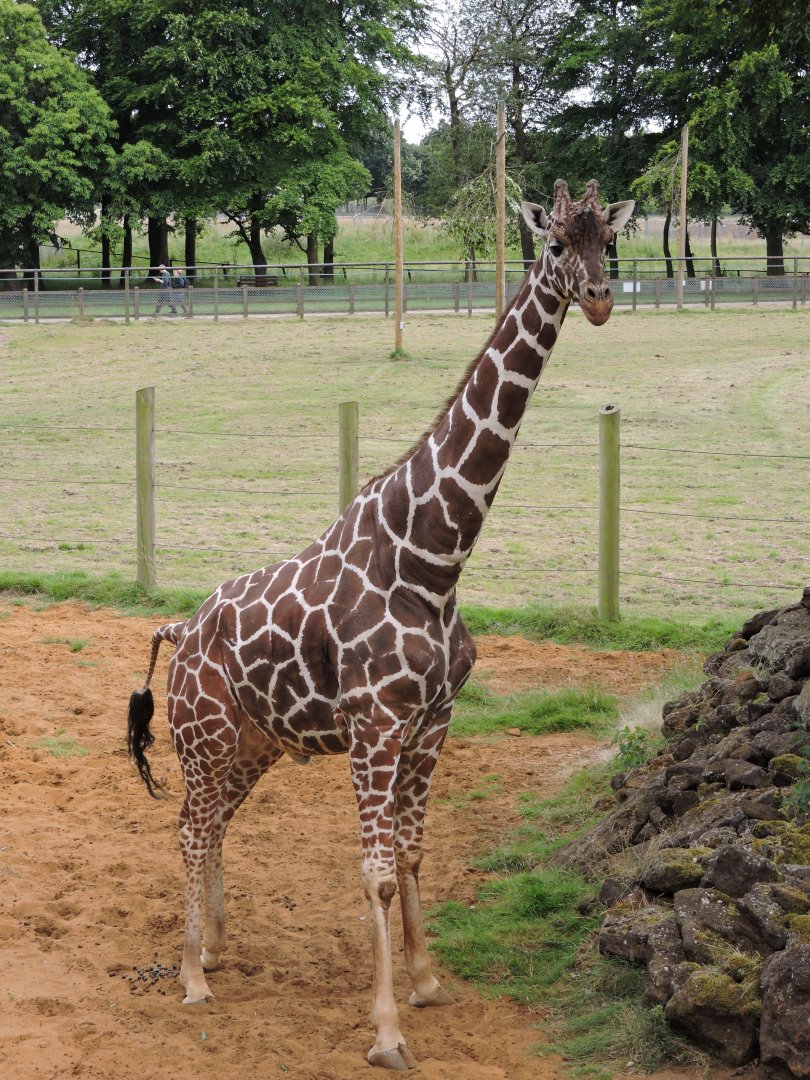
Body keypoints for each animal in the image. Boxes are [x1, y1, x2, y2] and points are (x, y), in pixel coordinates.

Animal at [128, 178, 634, 1072]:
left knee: (213, 823)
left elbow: (412, 850)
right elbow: (375, 871)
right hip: (205, 734)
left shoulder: (433, 720)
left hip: (253, 742)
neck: (433, 559)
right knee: (189, 828)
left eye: (607, 242)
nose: (602, 299)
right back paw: (190, 977)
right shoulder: (376, 723)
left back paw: (216, 947)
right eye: (552, 246)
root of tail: (179, 631)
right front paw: (388, 1030)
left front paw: (427, 983)